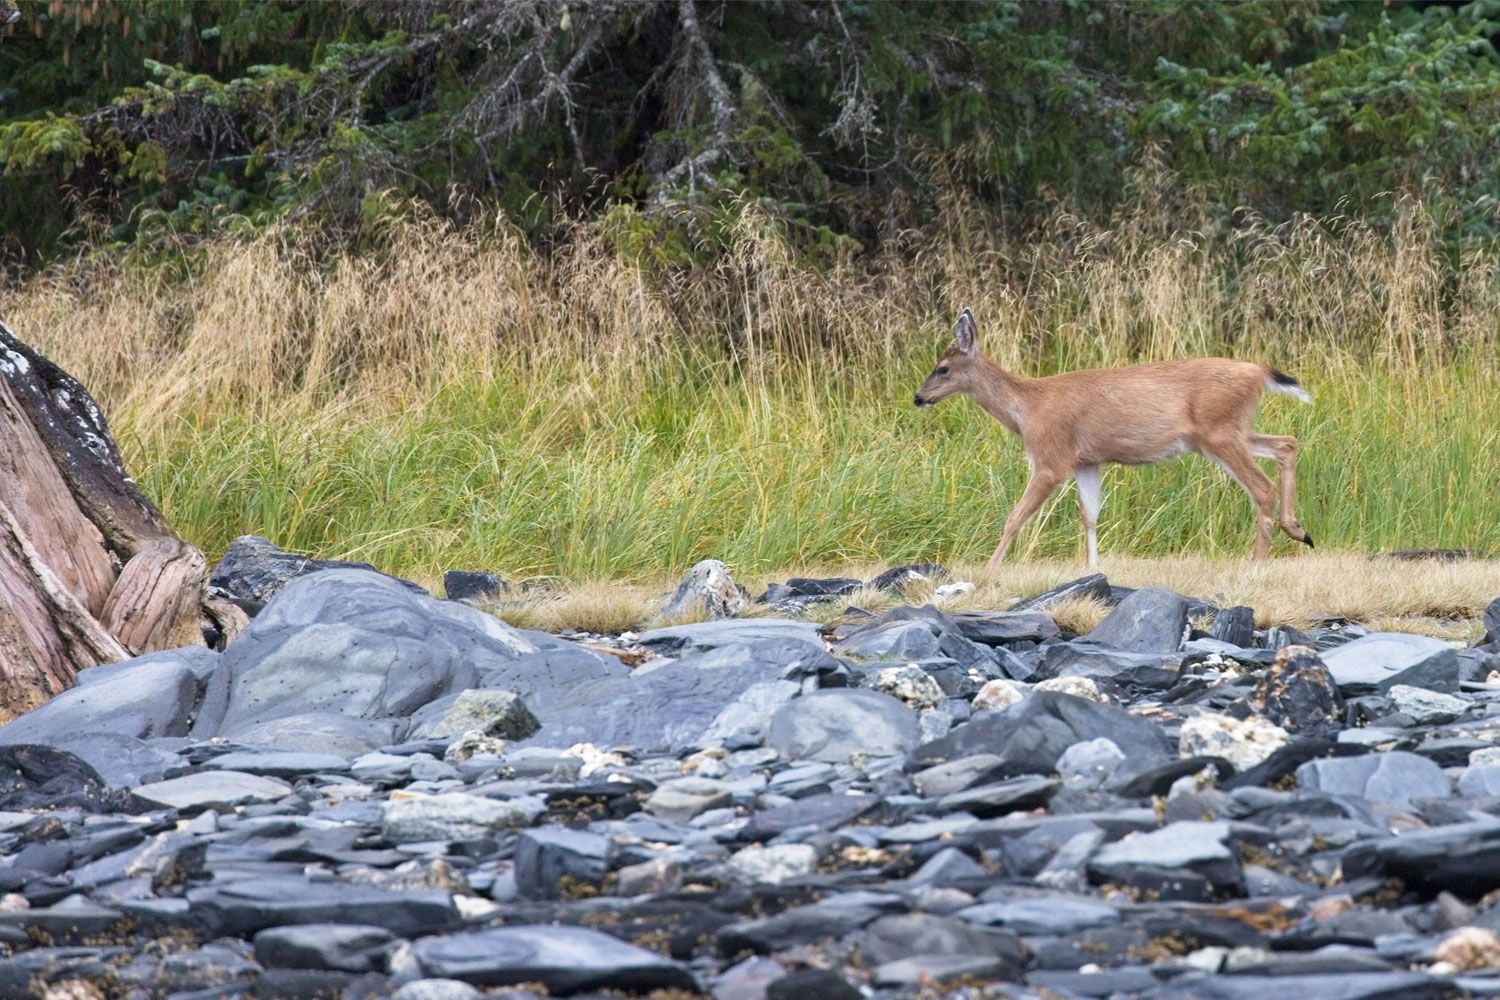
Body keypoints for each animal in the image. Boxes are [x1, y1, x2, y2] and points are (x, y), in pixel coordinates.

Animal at [913, 308, 1314, 569]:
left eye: (943, 368)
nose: (918, 397)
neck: (1027, 409)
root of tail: (1259, 371)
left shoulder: (1051, 457)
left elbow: (1015, 516)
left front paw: (990, 569)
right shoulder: (1086, 461)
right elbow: (1090, 515)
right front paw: (1093, 568)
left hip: (1219, 432)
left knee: (1261, 486)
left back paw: (1258, 561)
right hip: (1225, 432)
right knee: (1287, 443)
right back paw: (1298, 529)